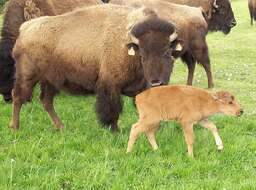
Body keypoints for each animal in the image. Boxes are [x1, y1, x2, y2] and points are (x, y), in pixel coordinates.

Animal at [9, 5, 182, 131]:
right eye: (143, 56)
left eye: (168, 53)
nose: (156, 83)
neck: (127, 44)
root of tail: (24, 28)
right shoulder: (110, 85)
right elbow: (113, 108)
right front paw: (114, 130)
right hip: (27, 76)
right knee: (18, 97)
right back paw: (15, 128)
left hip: (50, 81)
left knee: (46, 101)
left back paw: (61, 127)